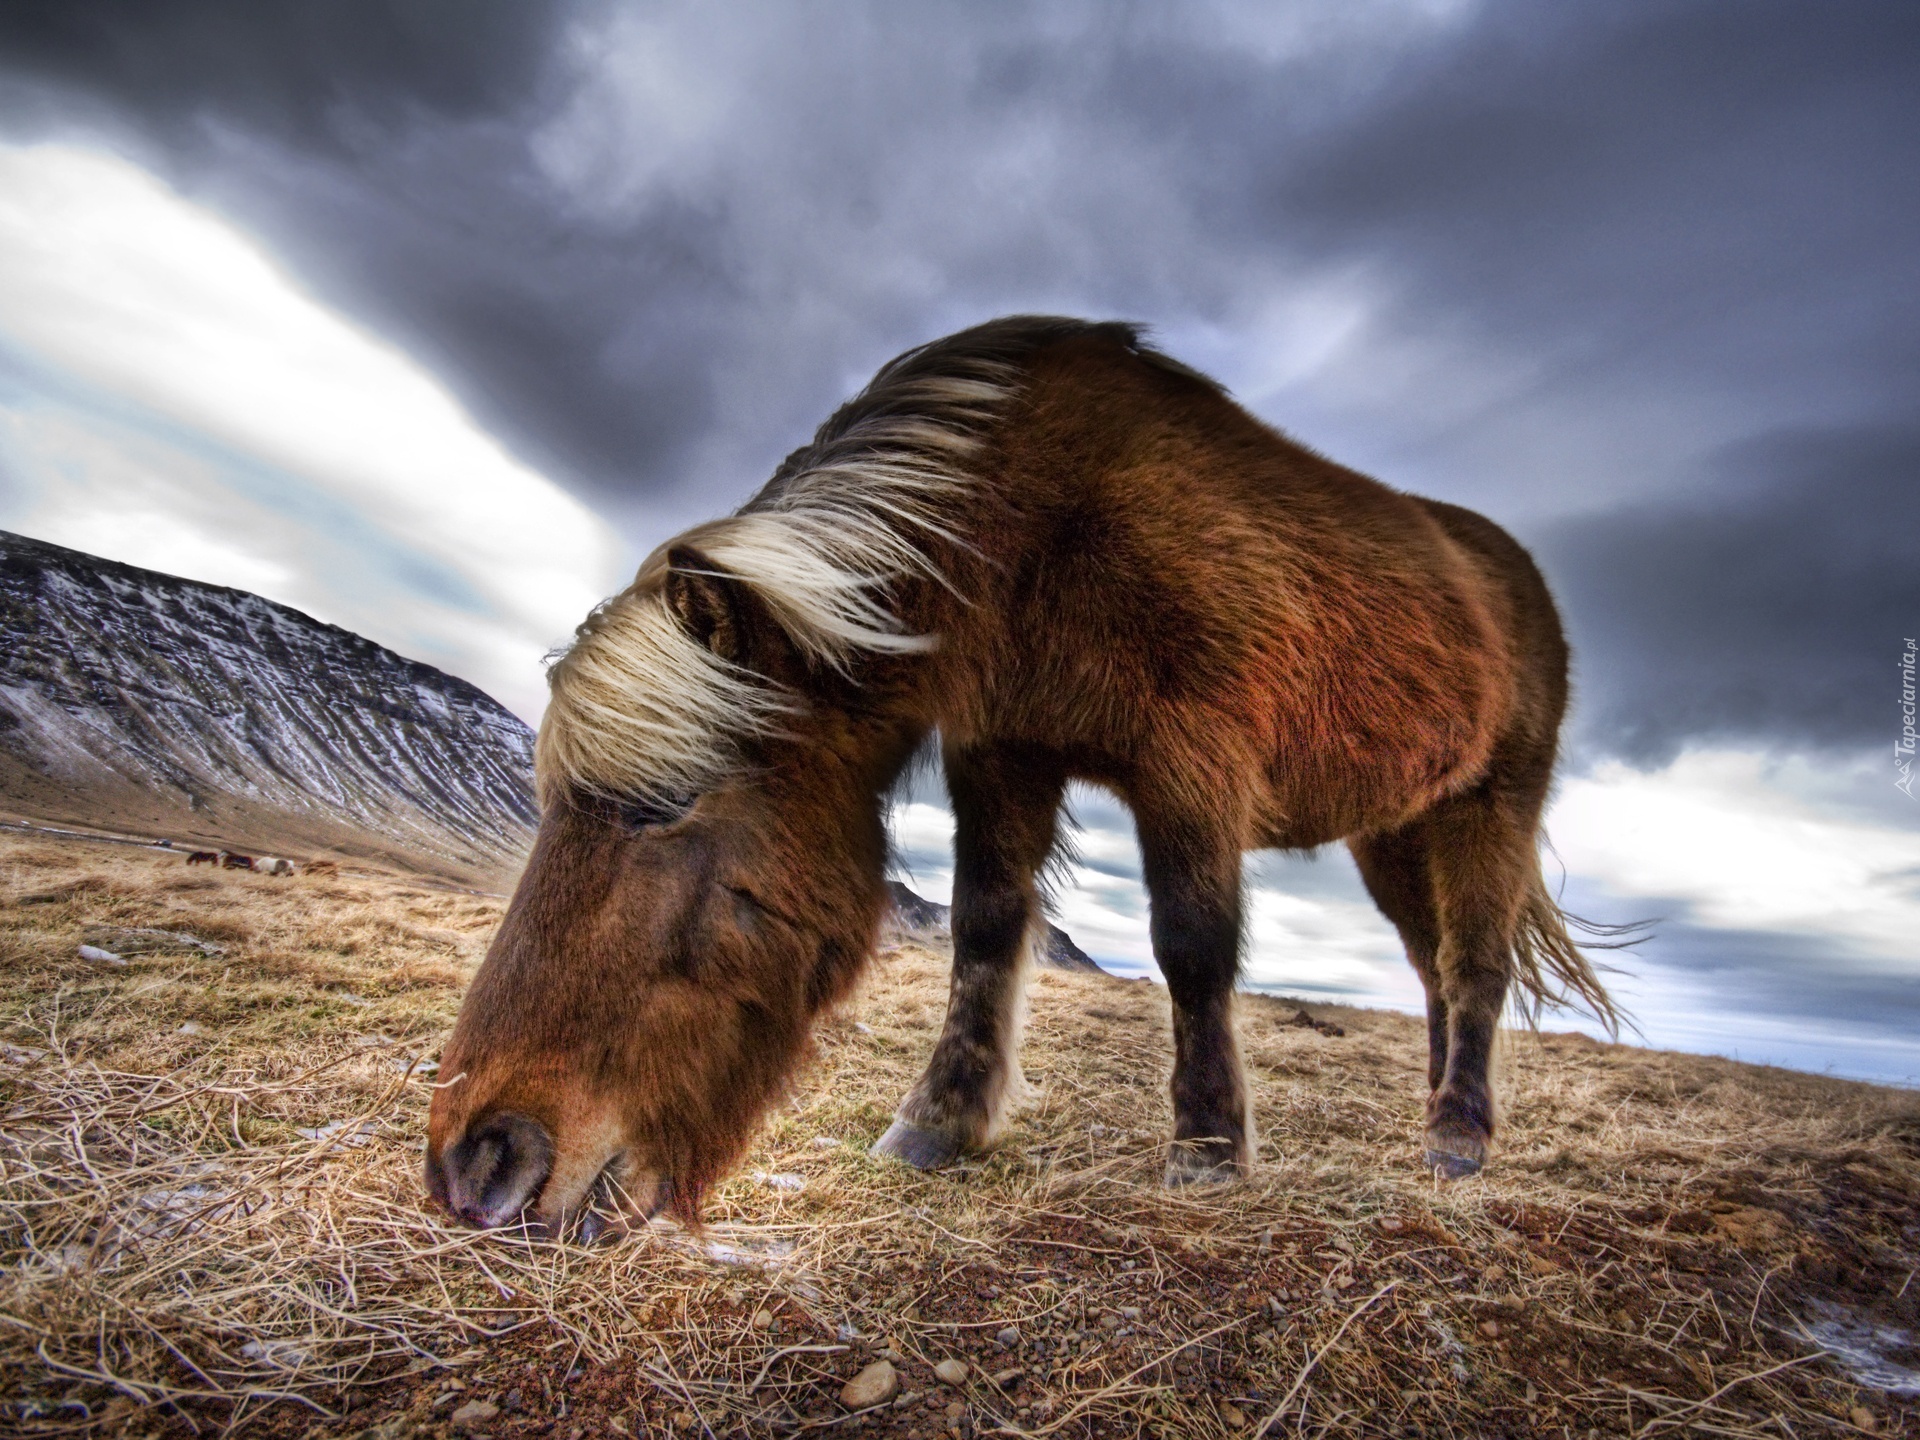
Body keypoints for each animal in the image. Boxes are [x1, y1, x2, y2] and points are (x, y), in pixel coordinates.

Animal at [428, 314, 1612, 1244]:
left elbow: (1191, 946)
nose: (475, 1164)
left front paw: (1208, 1148)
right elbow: (986, 929)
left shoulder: (1191, 766)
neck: (1038, 527)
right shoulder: (1002, 754)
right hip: (1395, 832)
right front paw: (937, 1124)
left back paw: (1458, 1138)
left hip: (1490, 811)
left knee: (1472, 966)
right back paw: (1440, 1113)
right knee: (1433, 968)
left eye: (663, 810)